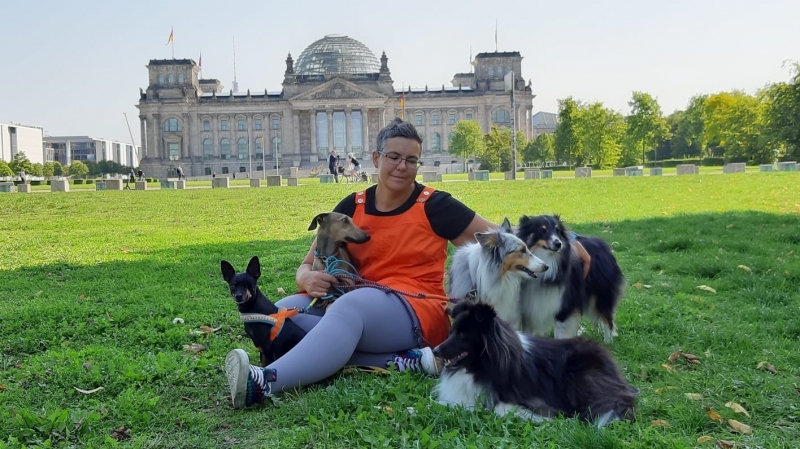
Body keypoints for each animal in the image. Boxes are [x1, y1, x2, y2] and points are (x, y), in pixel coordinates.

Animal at [434, 300, 636, 426]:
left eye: (462, 335)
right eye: (451, 332)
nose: (435, 351)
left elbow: (498, 408)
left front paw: (541, 418)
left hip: (578, 378)